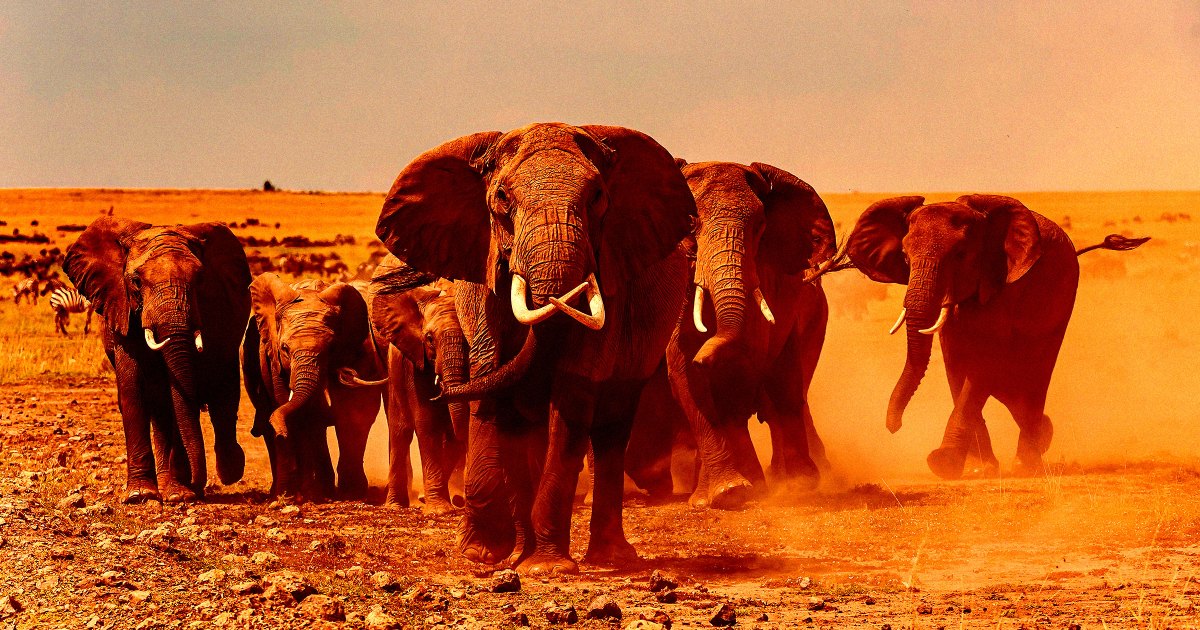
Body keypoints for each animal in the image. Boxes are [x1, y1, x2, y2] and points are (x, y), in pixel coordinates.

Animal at [64, 216, 251, 503]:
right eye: (136, 282)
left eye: (200, 279)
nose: (197, 484)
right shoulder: (121, 307)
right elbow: (133, 388)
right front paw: (140, 494)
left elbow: (179, 397)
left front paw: (179, 494)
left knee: (221, 397)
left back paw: (224, 471)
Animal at [241, 274, 386, 500]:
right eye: (284, 348)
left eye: (331, 348)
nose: (281, 433)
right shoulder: (273, 360)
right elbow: (303, 416)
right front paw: (307, 494)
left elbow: (355, 414)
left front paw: (352, 494)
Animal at [367, 254, 469, 513]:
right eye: (430, 339)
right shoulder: (413, 359)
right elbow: (426, 420)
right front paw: (440, 508)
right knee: (400, 429)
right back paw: (395, 505)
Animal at [845, 194, 1148, 479]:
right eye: (905, 258)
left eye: (960, 254)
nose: (894, 427)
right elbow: (955, 367)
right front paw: (978, 469)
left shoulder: (1002, 285)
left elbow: (981, 366)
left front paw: (943, 464)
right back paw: (1043, 434)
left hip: (1061, 301)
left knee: (1035, 373)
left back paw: (1027, 464)